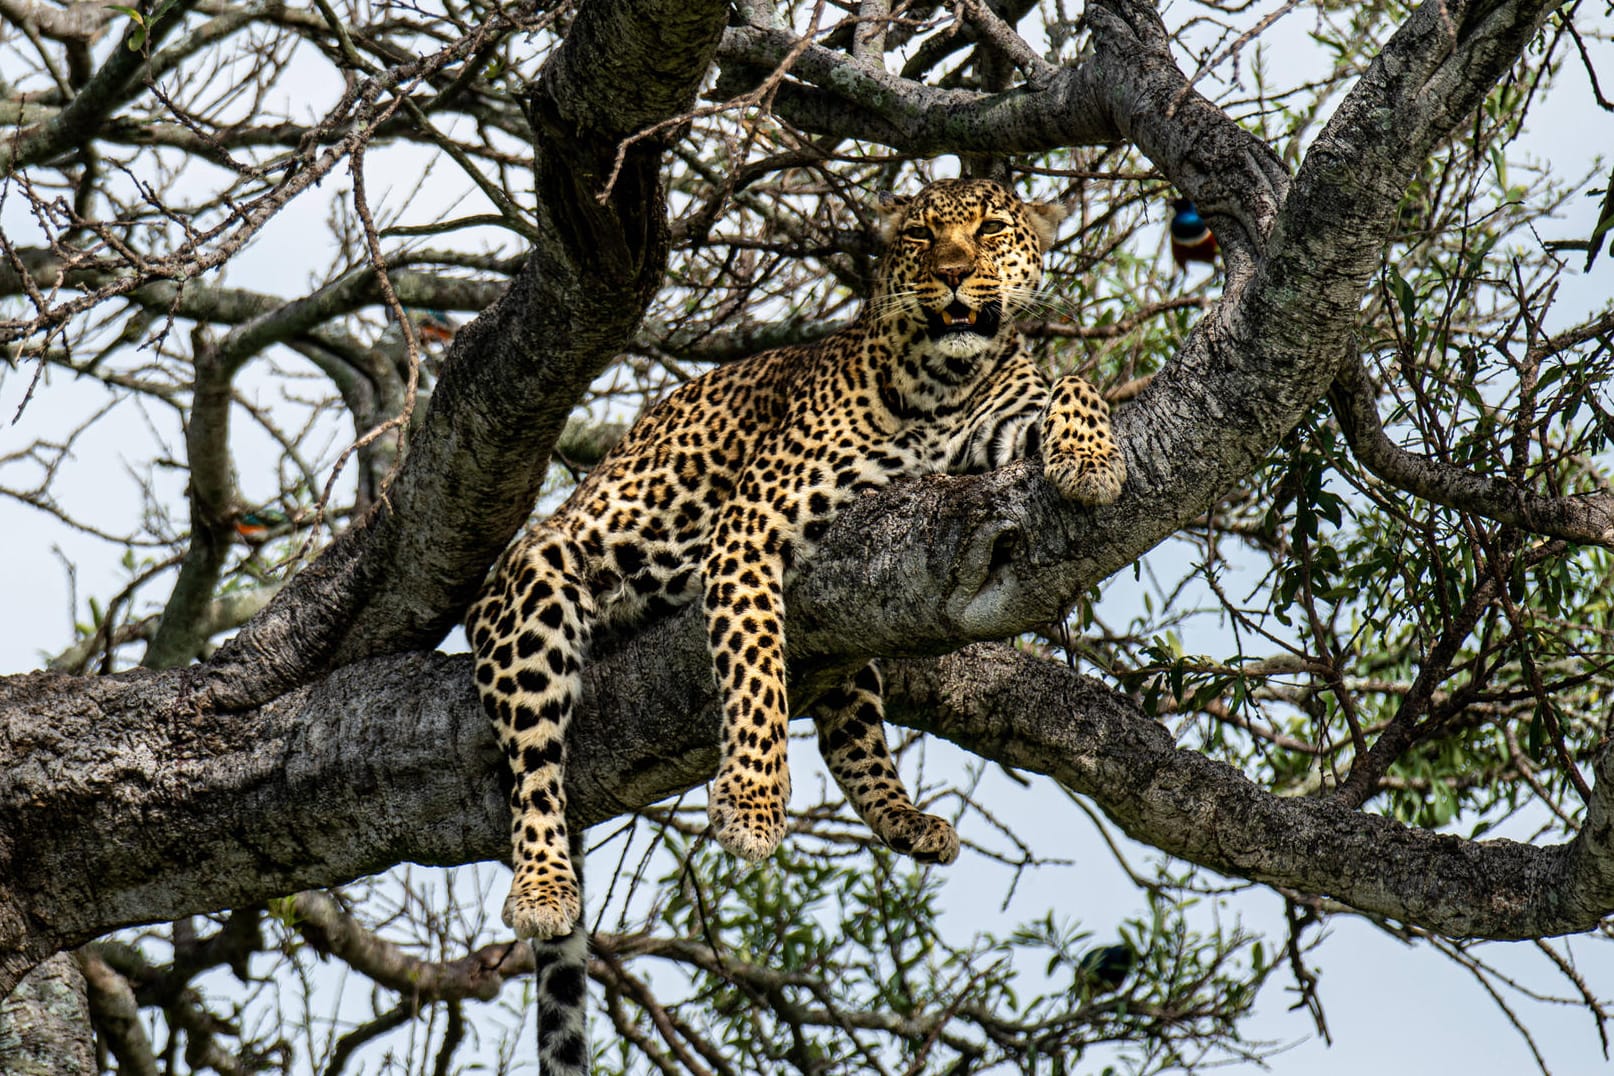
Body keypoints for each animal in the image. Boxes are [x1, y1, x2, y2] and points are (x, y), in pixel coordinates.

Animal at [461, 179, 1129, 1076]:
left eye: (990, 229)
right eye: (921, 237)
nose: (954, 273)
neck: (944, 385)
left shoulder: (1000, 426)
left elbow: (1077, 385)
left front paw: (1091, 459)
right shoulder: (749, 526)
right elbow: (754, 677)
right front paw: (750, 803)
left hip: (851, 636)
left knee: (857, 727)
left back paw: (906, 818)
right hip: (536, 586)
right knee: (535, 769)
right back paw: (542, 886)